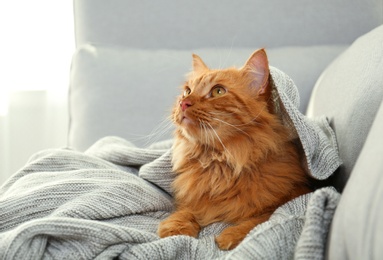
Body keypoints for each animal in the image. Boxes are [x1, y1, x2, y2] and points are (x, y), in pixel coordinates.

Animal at [158, 48, 312, 250]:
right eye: (187, 91)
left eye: (218, 91)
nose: (183, 103)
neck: (218, 161)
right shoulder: (192, 199)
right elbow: (185, 211)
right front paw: (175, 228)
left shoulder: (294, 195)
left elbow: (262, 219)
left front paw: (231, 235)